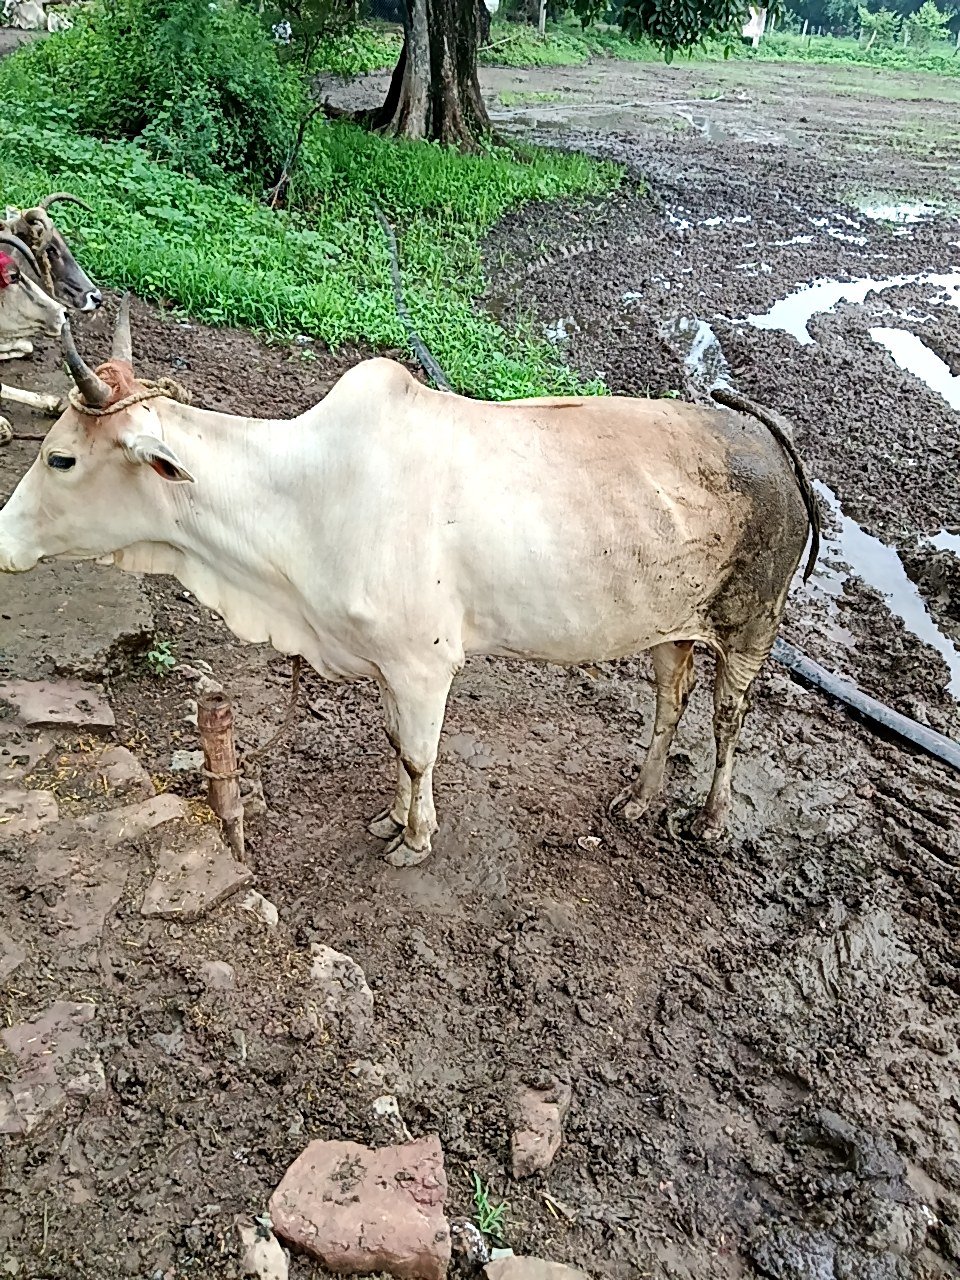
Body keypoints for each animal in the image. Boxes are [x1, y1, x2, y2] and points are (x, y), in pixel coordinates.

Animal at [0, 300, 820, 865]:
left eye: (61, 458)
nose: (3, 539)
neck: (303, 497)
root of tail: (768, 436)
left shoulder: (426, 663)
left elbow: (420, 754)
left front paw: (416, 839)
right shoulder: (385, 664)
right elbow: (396, 744)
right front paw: (393, 818)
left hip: (753, 624)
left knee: (728, 717)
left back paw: (711, 818)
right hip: (669, 627)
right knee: (669, 703)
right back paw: (641, 799)